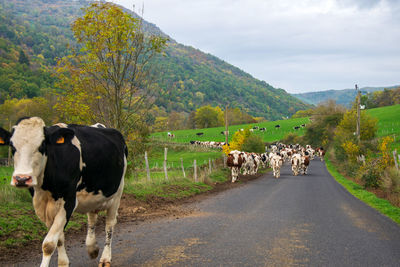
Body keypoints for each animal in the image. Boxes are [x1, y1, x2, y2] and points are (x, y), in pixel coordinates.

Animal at [0, 118, 127, 267]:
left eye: (42, 145)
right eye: (12, 146)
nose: (21, 179)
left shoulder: (69, 201)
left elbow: (49, 244)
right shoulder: (43, 207)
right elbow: (59, 237)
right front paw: (63, 262)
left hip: (117, 193)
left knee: (109, 225)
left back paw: (105, 258)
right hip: (93, 194)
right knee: (92, 218)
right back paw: (92, 248)